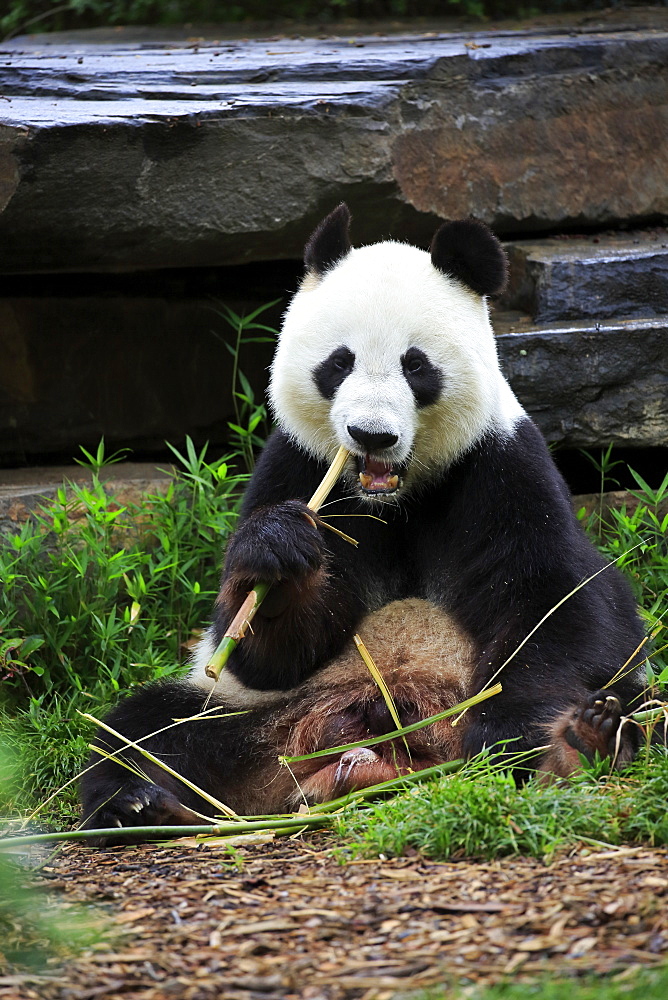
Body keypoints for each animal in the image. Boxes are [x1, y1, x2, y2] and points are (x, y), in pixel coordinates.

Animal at [79, 201, 648, 836]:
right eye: (338, 363)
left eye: (416, 366)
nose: (371, 434)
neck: (392, 497)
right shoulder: (298, 465)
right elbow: (263, 649)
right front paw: (278, 558)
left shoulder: (499, 466)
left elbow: (556, 604)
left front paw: (510, 736)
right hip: (253, 715)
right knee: (151, 728)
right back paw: (138, 800)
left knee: (634, 707)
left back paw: (581, 742)